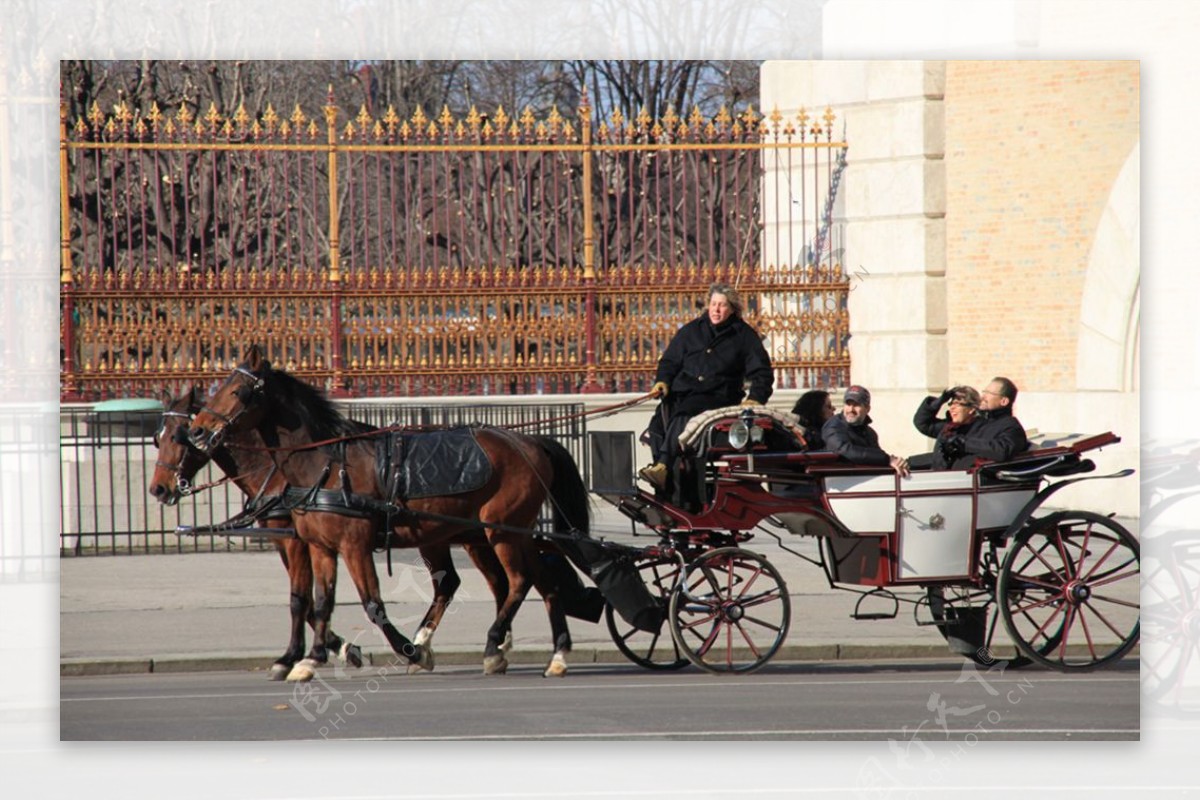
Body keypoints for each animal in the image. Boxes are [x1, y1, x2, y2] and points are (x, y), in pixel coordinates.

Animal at [146, 383, 516, 681]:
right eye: (155, 438)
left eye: (179, 437)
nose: (159, 489)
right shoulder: (298, 541)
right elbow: (308, 599)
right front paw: (335, 648)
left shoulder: (297, 541)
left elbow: (303, 598)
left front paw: (322, 652)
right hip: (453, 537)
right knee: (472, 582)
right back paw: (478, 644)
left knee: (494, 580)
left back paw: (483, 644)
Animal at [188, 347, 595, 681]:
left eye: (237, 391)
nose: (197, 431)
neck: (325, 464)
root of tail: (529, 440)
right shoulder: (320, 546)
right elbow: (320, 602)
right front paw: (311, 657)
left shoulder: (353, 545)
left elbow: (372, 605)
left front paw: (406, 649)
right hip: (502, 533)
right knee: (539, 581)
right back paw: (555, 653)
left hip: (502, 531)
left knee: (519, 580)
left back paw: (493, 643)